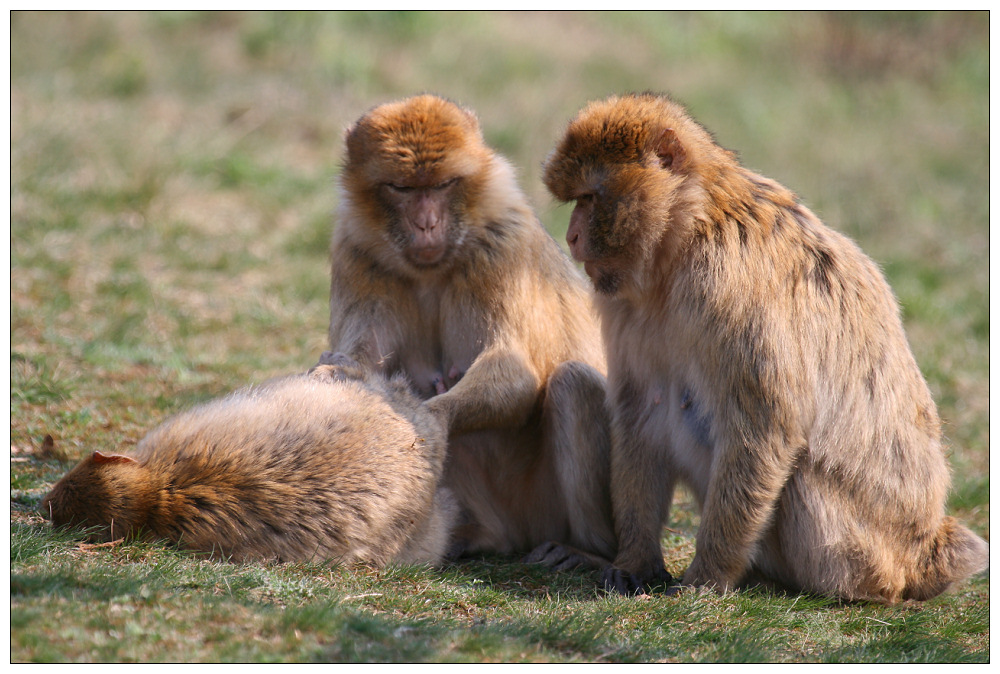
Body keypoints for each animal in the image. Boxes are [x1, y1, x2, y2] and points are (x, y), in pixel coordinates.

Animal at [544, 92, 988, 600]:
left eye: (589, 197)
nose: (572, 237)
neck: (692, 229)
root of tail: (925, 550)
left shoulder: (726, 284)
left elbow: (764, 429)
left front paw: (707, 577)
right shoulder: (625, 302)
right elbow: (643, 409)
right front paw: (634, 562)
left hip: (858, 551)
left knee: (793, 469)